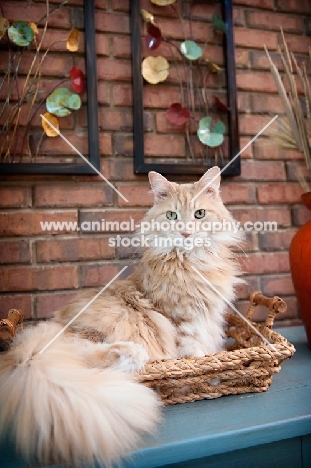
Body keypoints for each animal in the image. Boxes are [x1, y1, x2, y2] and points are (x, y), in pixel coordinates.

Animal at [0, 166, 244, 466]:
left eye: (200, 214)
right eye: (172, 216)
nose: (186, 233)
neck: (192, 264)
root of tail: (24, 350)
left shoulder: (210, 320)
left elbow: (211, 353)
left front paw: (217, 375)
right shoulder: (185, 323)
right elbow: (196, 359)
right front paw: (202, 380)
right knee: (90, 358)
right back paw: (130, 355)